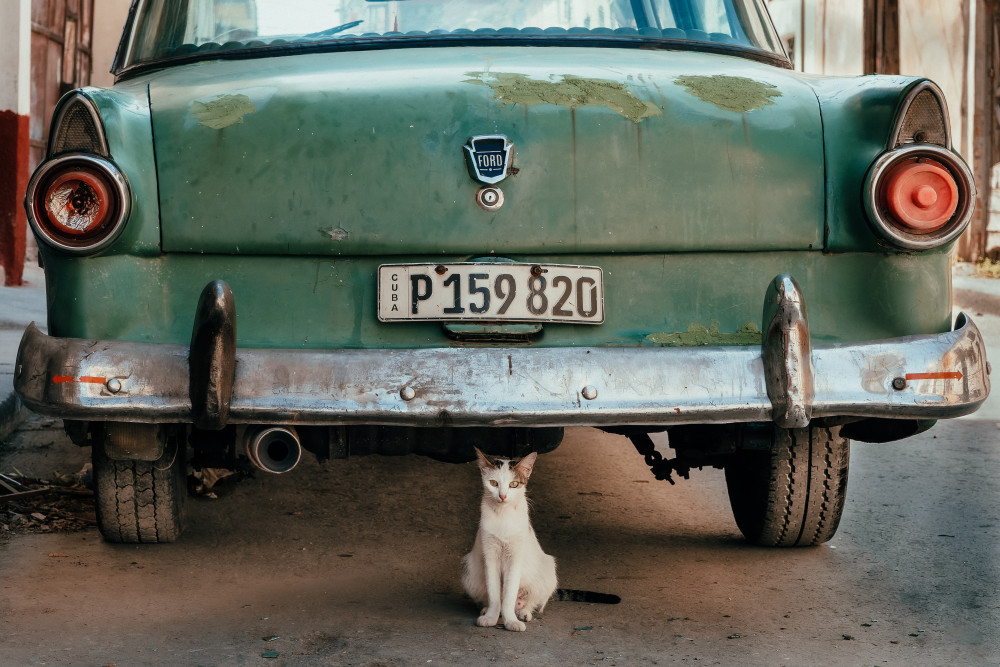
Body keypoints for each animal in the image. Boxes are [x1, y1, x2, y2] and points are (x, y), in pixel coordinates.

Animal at [461, 448, 620, 632]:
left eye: (513, 484)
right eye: (494, 483)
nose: (502, 496)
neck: (503, 515)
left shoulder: (516, 557)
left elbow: (509, 594)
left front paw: (511, 622)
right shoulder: (489, 554)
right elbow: (494, 594)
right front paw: (491, 617)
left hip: (548, 569)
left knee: (533, 601)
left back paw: (523, 612)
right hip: (469, 571)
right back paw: (486, 609)